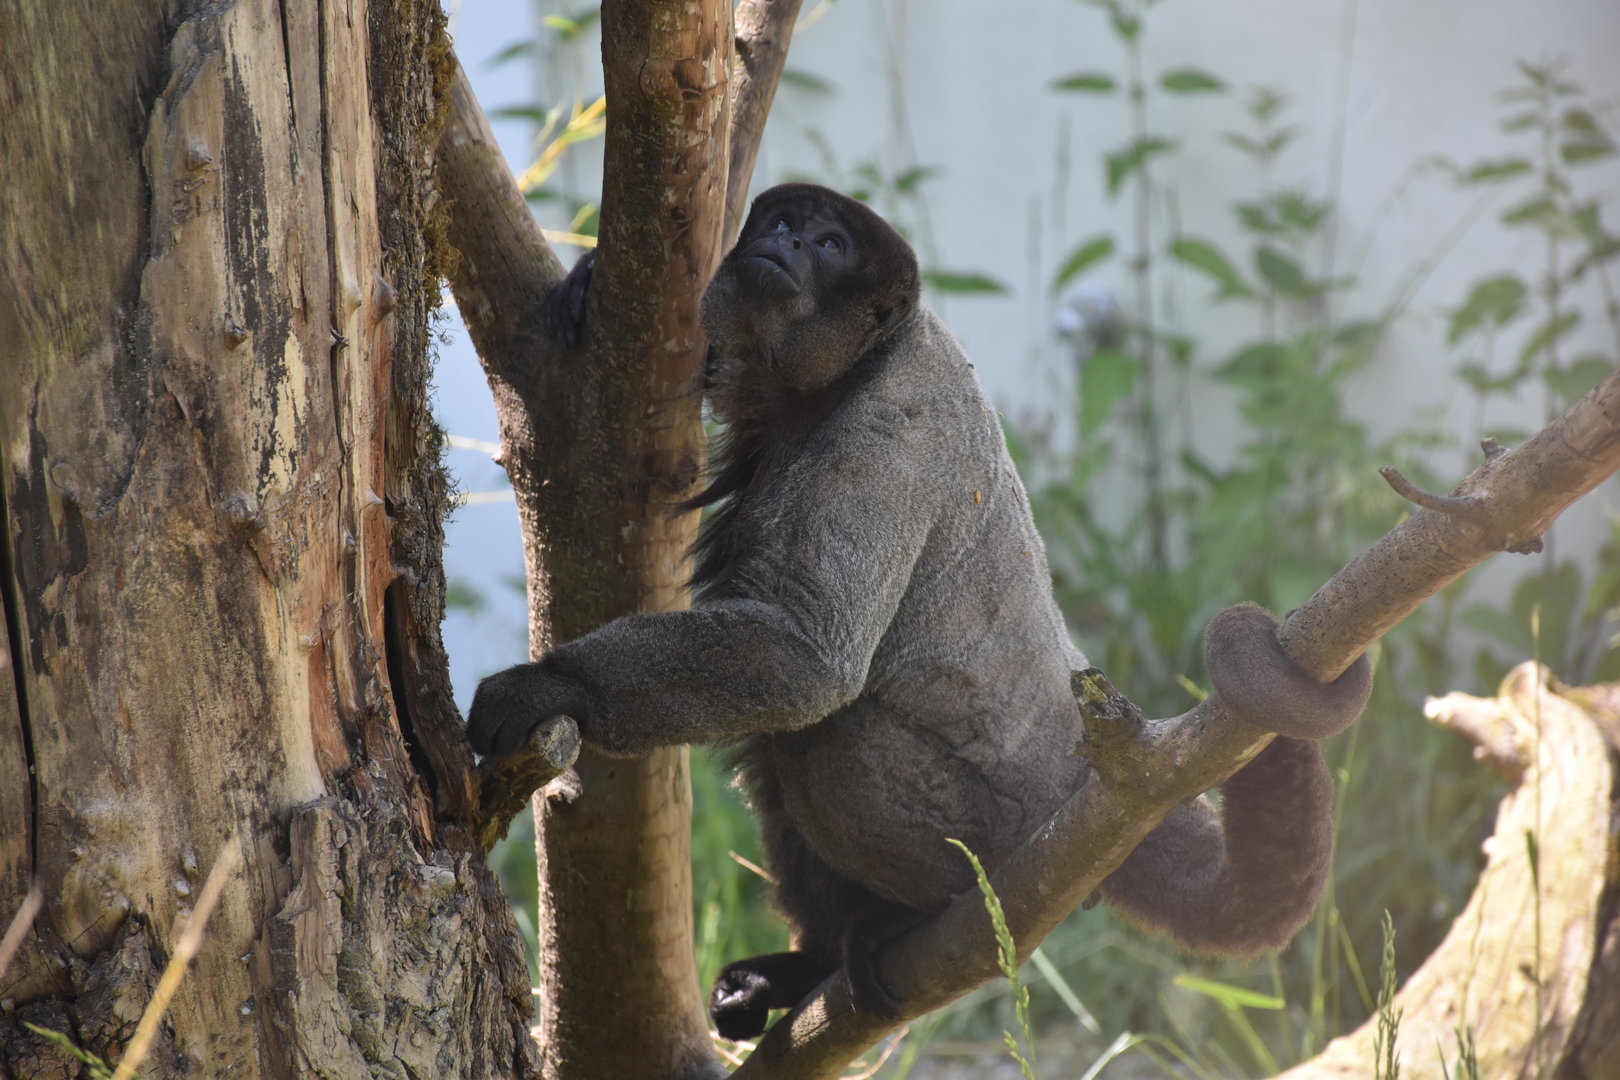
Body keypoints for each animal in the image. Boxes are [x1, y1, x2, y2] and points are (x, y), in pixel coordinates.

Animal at [466, 183, 1372, 1040]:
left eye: (830, 244)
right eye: (783, 221)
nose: (788, 241)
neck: (843, 373)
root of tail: (1084, 780)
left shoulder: (885, 437)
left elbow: (810, 663)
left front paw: (552, 685)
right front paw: (585, 282)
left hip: (984, 832)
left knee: (819, 739)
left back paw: (905, 920)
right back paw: (810, 966)